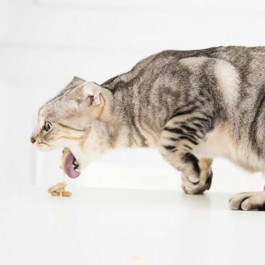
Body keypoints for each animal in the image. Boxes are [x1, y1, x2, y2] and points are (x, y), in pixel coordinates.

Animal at [31, 46, 265, 210]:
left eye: (47, 126)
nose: (31, 139)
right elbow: (200, 157)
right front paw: (196, 180)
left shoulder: (198, 102)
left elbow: (167, 143)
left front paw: (193, 173)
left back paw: (250, 198)